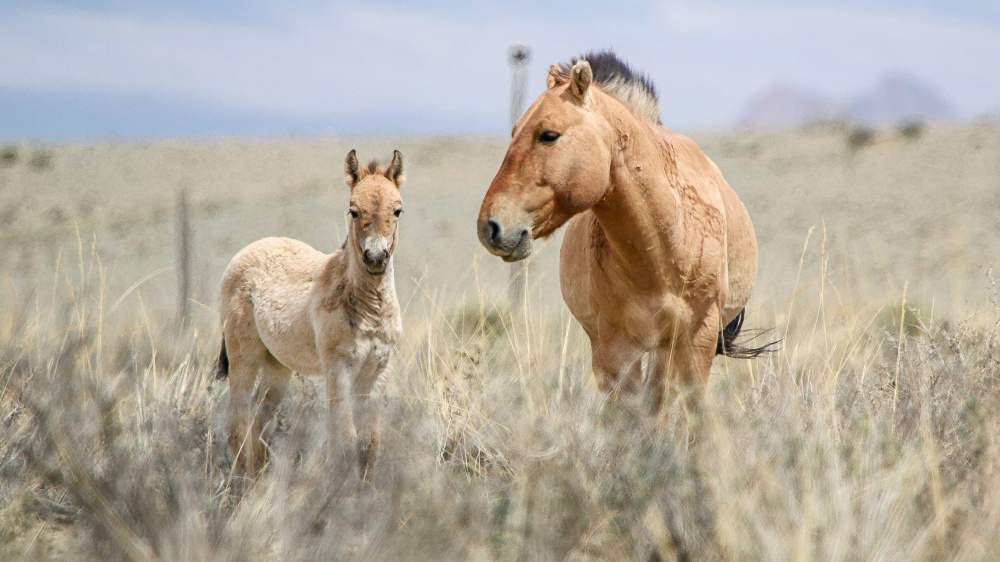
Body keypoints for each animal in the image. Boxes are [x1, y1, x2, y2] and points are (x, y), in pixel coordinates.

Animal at [217, 149, 404, 476]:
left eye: (397, 211)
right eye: (353, 211)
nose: (375, 257)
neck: (368, 308)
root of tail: (248, 249)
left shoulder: (378, 368)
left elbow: (370, 443)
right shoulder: (338, 368)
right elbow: (346, 439)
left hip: (277, 366)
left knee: (260, 422)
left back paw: (260, 481)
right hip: (244, 359)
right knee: (237, 426)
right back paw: (242, 485)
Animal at [480, 51, 768, 412]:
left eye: (548, 134)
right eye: (514, 131)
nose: (490, 226)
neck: (663, 251)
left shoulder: (695, 340)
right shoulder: (617, 349)